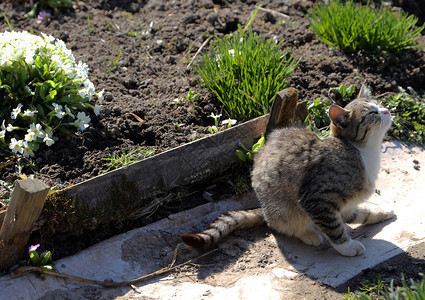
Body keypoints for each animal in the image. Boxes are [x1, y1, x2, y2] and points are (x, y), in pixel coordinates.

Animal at [181, 85, 392, 256]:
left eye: (379, 104)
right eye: (372, 113)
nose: (387, 110)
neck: (363, 151)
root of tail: (265, 210)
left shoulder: (343, 204)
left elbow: (354, 214)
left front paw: (379, 212)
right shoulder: (317, 199)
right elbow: (334, 228)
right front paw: (347, 247)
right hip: (285, 209)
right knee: (284, 224)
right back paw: (309, 233)